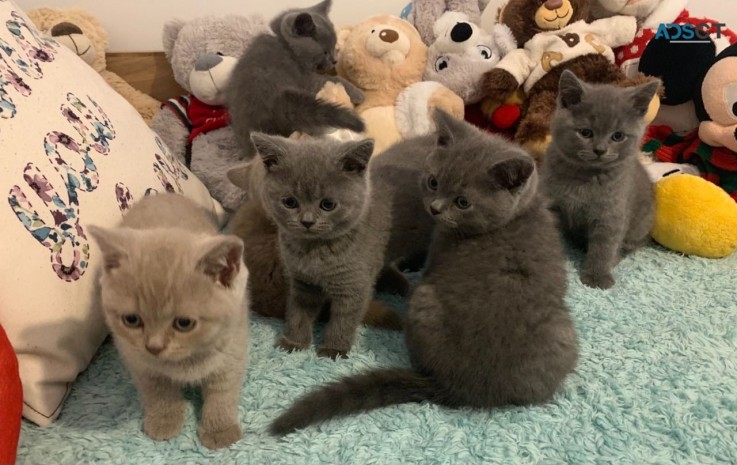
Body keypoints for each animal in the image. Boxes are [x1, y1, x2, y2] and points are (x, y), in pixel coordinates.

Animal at [87, 194, 249, 448]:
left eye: (184, 323)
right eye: (131, 319)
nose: (154, 346)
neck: (187, 362)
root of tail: (159, 195)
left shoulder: (232, 350)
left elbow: (222, 391)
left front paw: (220, 429)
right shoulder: (138, 360)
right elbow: (158, 390)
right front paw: (165, 421)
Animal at [227, 0, 366, 160]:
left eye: (334, 46)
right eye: (325, 52)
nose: (335, 61)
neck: (284, 43)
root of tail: (276, 102)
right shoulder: (309, 78)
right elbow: (335, 79)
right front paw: (359, 93)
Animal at [268, 110, 576, 434]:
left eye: (463, 202)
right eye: (433, 182)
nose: (436, 208)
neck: (517, 216)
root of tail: (469, 390)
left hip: (427, 299)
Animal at [540, 69, 656, 288]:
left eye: (617, 136)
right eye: (585, 132)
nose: (600, 150)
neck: (586, 177)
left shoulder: (611, 213)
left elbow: (605, 247)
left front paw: (597, 276)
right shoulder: (551, 202)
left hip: (641, 223)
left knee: (633, 243)